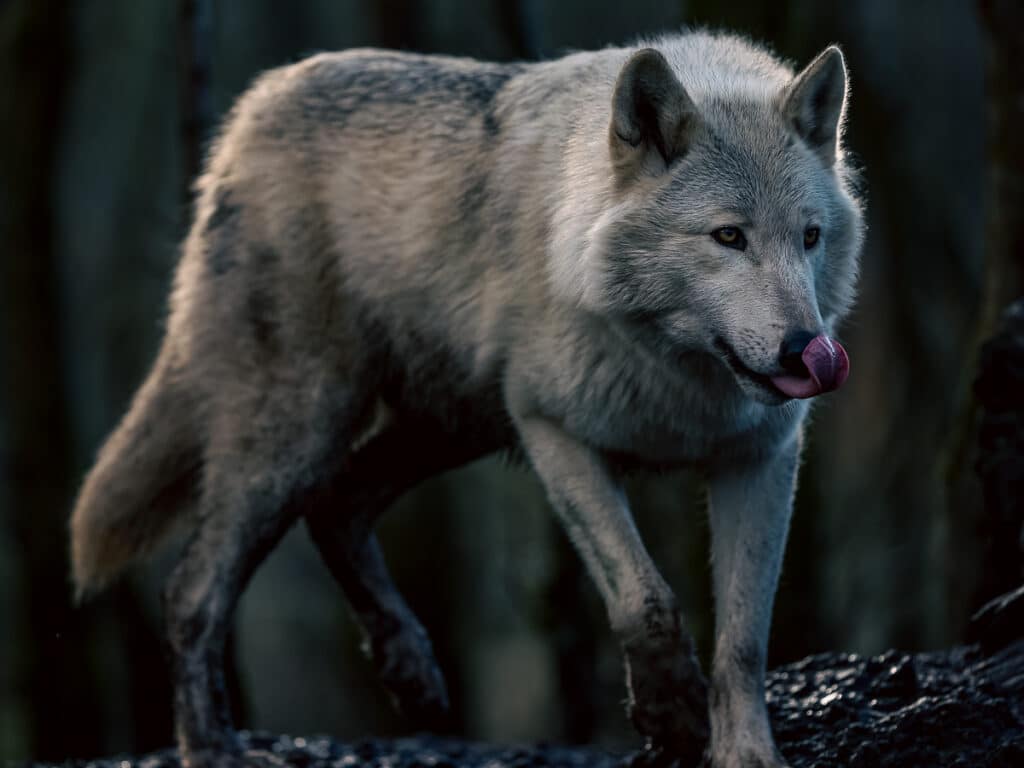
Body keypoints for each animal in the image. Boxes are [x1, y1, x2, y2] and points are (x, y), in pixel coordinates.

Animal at [70, 29, 863, 768]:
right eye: (728, 236)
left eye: (810, 237)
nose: (807, 349)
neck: (679, 372)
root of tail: (254, 107)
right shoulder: (553, 433)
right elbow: (646, 602)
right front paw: (672, 718)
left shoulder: (760, 461)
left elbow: (744, 640)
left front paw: (745, 752)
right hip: (301, 432)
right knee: (192, 590)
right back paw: (212, 748)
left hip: (444, 427)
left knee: (336, 506)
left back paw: (410, 670)